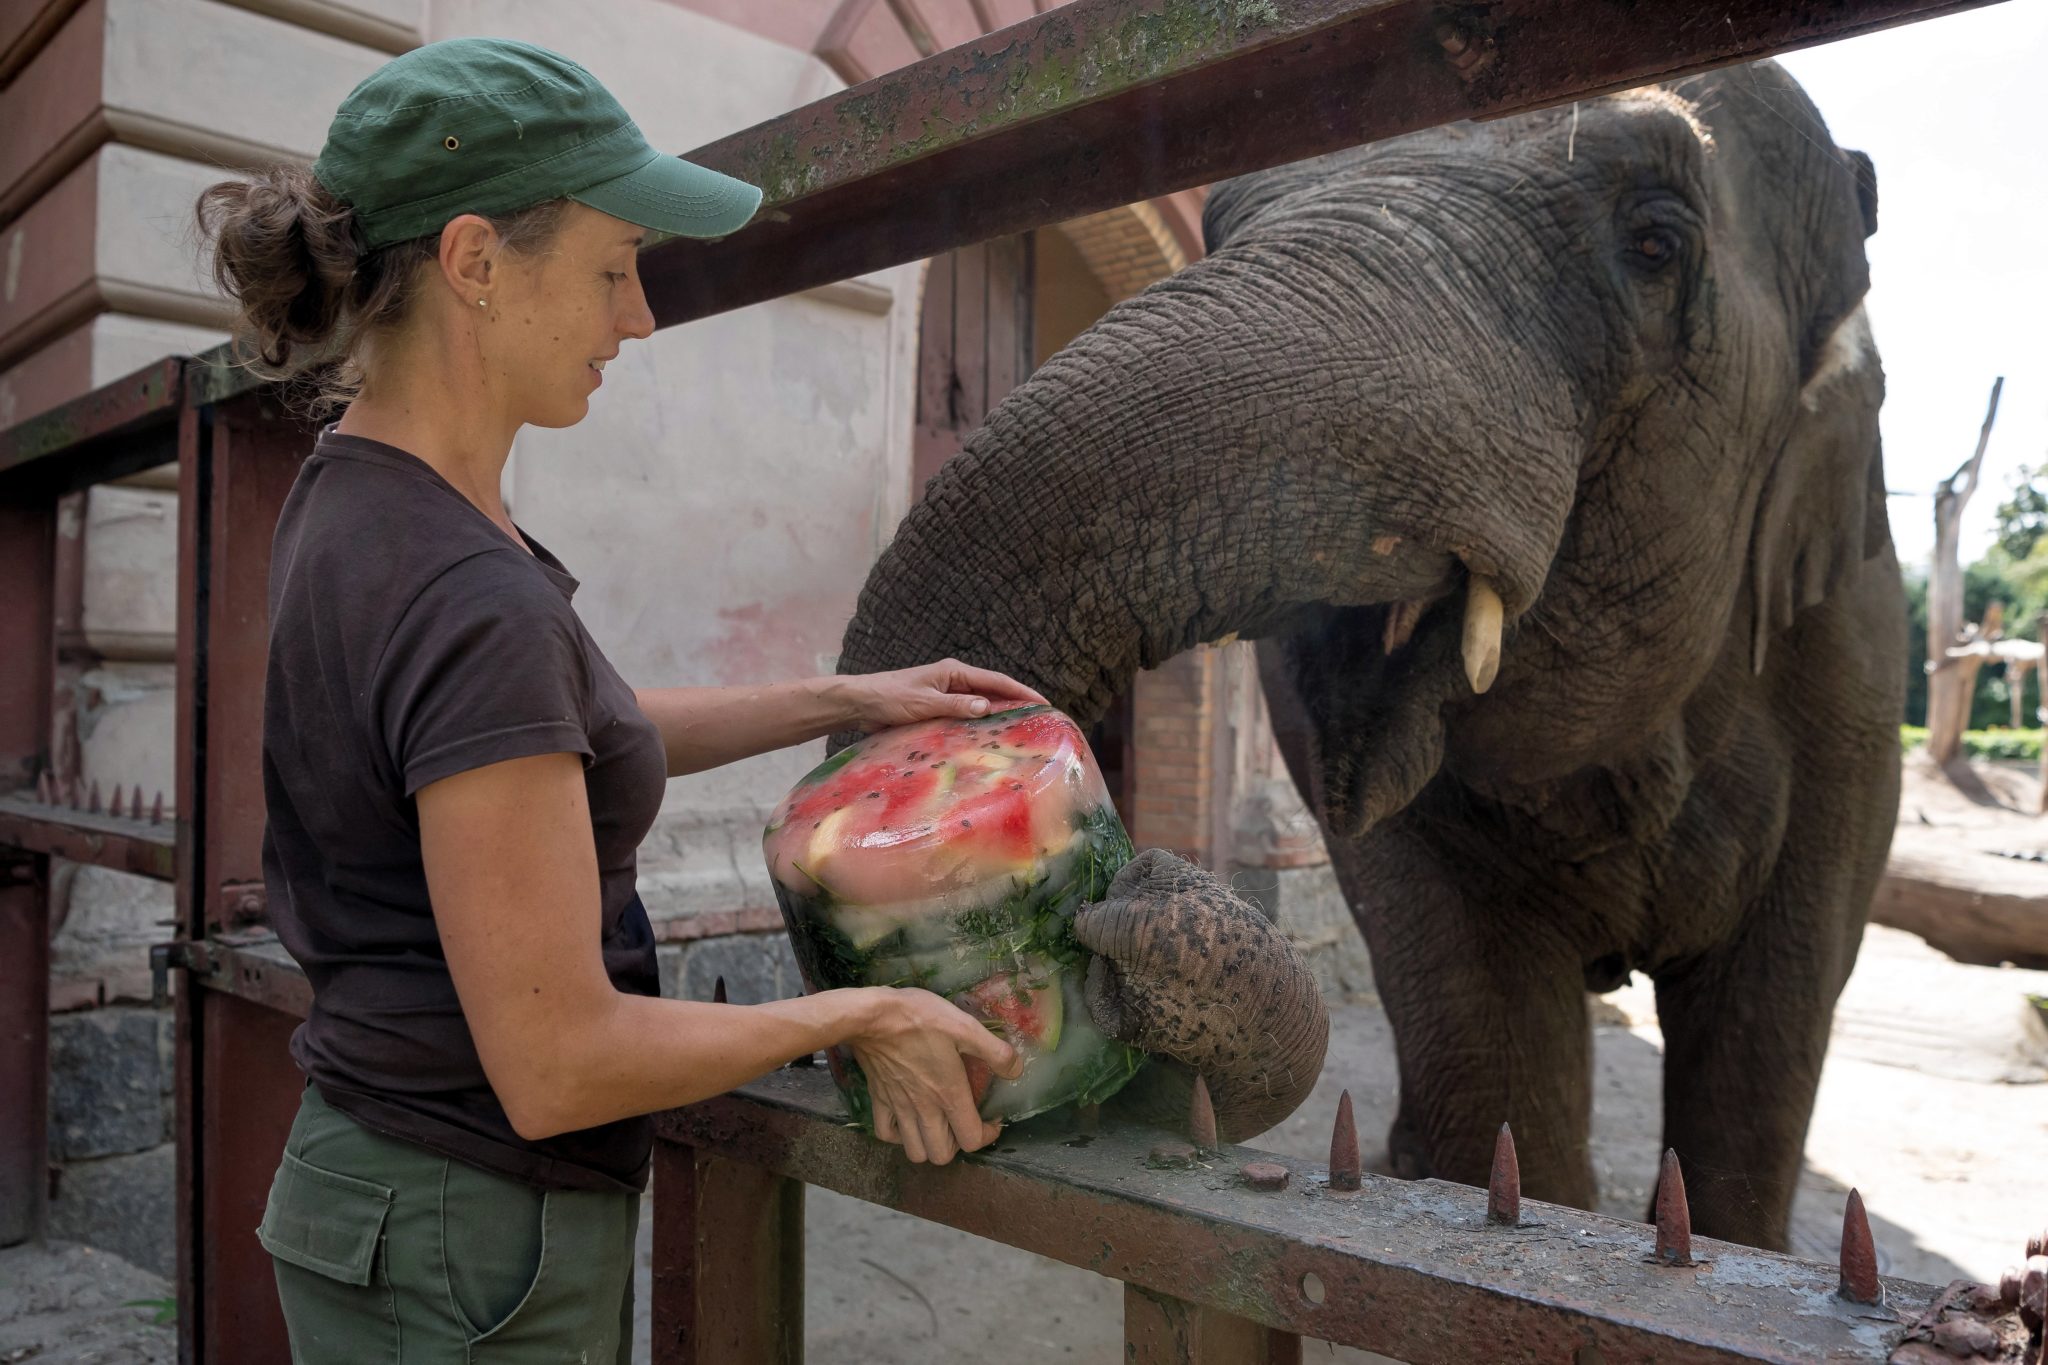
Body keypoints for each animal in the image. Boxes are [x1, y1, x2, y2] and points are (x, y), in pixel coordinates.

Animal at [827, 56, 1900, 1252]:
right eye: (1220, 221)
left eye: (1656, 242)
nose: (1124, 904)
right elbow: (1486, 1047)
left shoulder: (1852, 696)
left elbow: (1758, 1073)